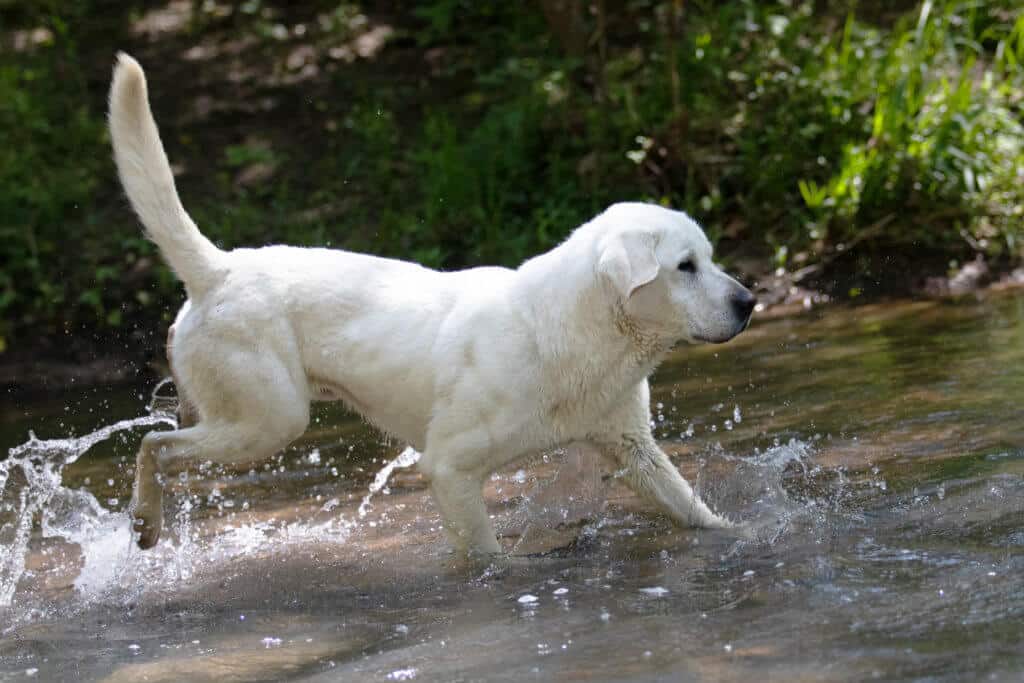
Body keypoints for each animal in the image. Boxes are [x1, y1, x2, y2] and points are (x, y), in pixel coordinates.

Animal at [110, 53, 753, 557]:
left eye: (710, 256)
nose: (748, 301)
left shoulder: (632, 447)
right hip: (270, 419)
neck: (583, 331)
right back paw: (144, 523)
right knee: (153, 445)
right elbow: (486, 554)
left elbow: (695, 511)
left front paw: (741, 534)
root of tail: (219, 267)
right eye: (685, 267)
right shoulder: (449, 467)